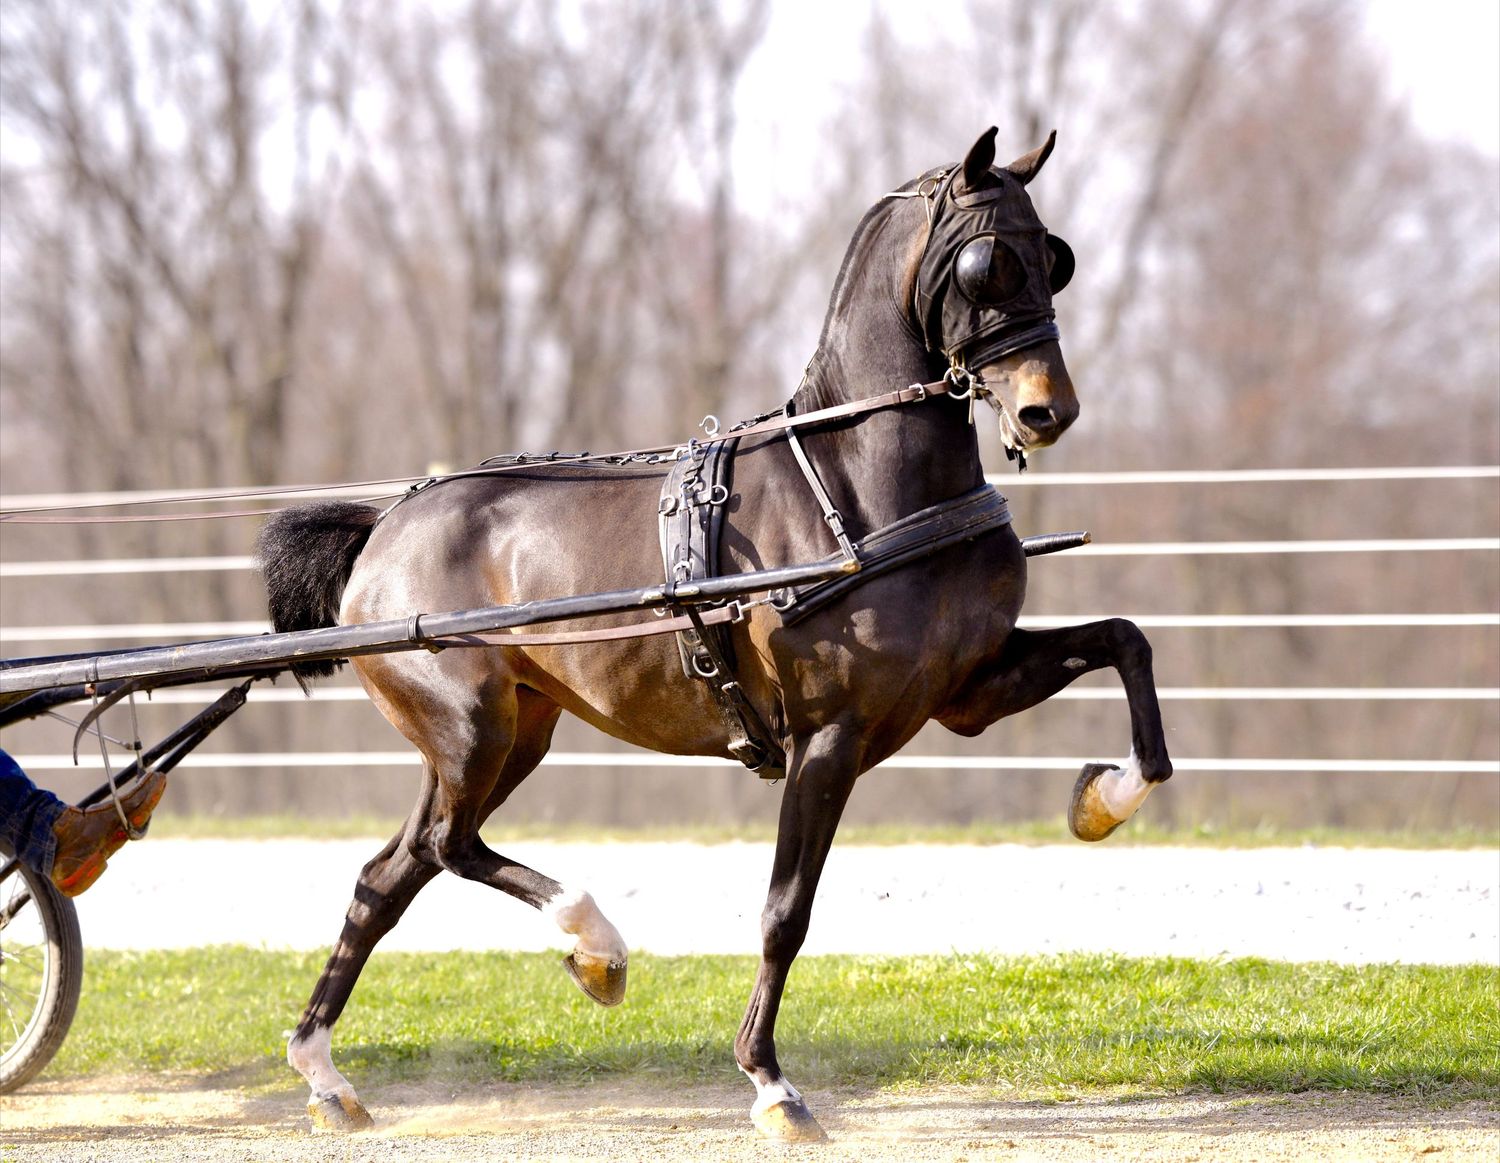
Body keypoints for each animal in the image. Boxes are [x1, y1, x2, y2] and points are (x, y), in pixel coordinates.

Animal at [257, 127, 1172, 1142]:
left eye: (1054, 256)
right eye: (985, 263)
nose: (1048, 410)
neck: (856, 489)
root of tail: (383, 527)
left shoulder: (967, 690)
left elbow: (1127, 641)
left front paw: (1107, 797)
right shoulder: (830, 736)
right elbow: (786, 911)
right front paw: (771, 1081)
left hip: (509, 735)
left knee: (392, 873)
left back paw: (325, 1071)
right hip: (470, 729)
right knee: (450, 849)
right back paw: (593, 944)